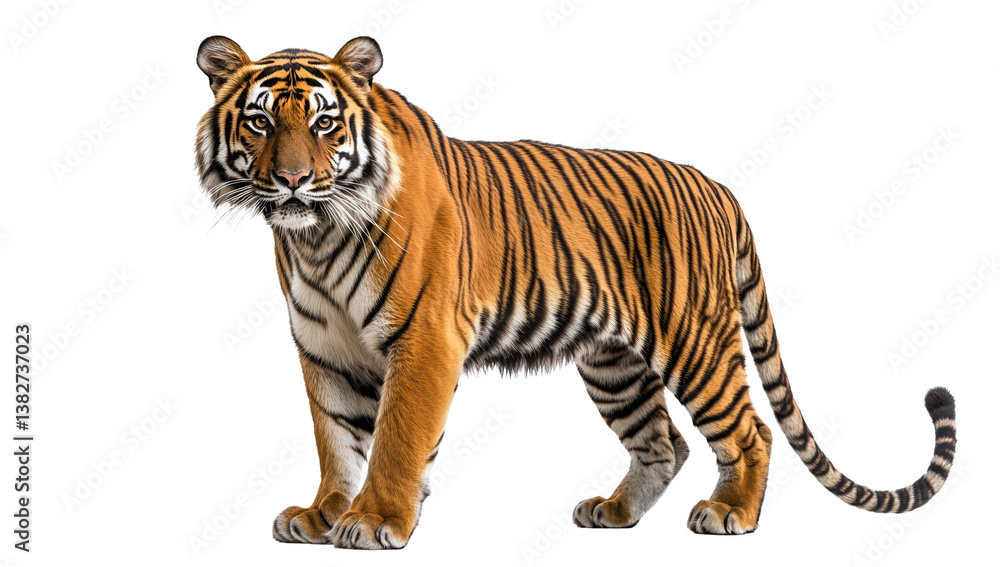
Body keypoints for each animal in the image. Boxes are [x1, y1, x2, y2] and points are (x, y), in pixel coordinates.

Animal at [194, 35, 958, 550]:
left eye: (324, 123)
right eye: (261, 121)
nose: (293, 181)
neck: (317, 239)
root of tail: (718, 187)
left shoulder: (424, 340)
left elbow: (396, 438)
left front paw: (376, 519)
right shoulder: (325, 350)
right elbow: (337, 437)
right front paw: (324, 514)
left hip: (695, 341)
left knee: (749, 429)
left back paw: (731, 514)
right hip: (614, 363)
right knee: (663, 443)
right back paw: (614, 513)